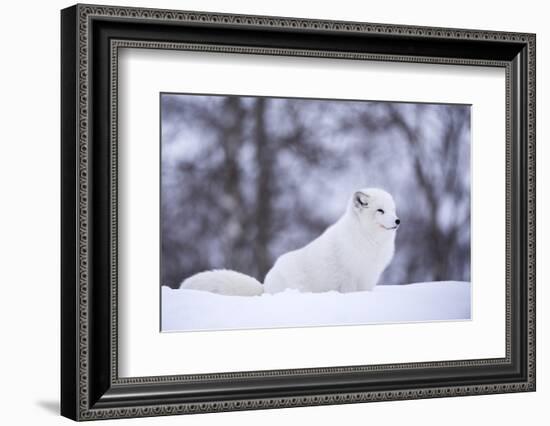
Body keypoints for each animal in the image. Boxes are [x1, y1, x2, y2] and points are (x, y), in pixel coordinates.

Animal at [181, 188, 402, 294]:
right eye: (380, 211)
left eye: (392, 210)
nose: (398, 221)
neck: (368, 239)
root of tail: (265, 288)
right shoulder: (348, 278)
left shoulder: (370, 277)